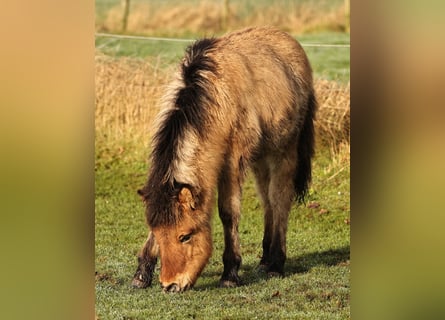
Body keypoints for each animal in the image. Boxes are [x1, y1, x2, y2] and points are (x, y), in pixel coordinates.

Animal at [132, 26, 316, 292]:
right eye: (157, 234)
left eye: (185, 236)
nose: (170, 284)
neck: (215, 97)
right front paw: (141, 274)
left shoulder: (232, 164)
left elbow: (228, 213)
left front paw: (230, 273)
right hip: (260, 159)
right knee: (267, 201)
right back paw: (264, 259)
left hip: (283, 152)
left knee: (279, 199)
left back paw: (275, 264)